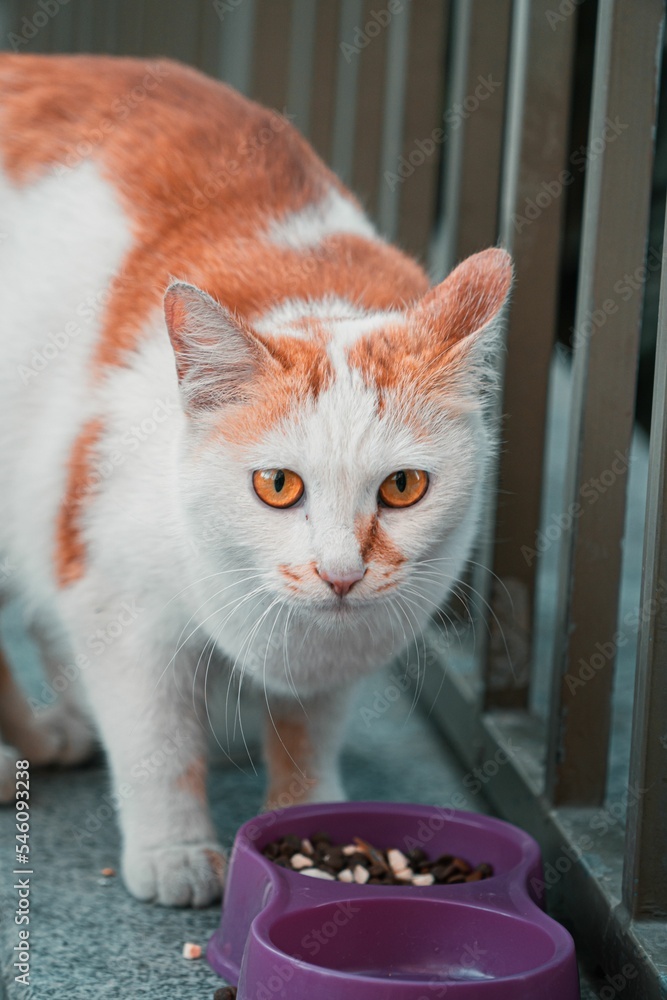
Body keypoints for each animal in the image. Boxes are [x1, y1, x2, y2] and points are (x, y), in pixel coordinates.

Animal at [0, 56, 516, 908]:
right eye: (276, 485)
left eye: (403, 488)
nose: (341, 573)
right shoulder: (117, 601)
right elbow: (156, 742)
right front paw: (176, 851)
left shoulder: (337, 655)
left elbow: (310, 728)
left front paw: (312, 821)